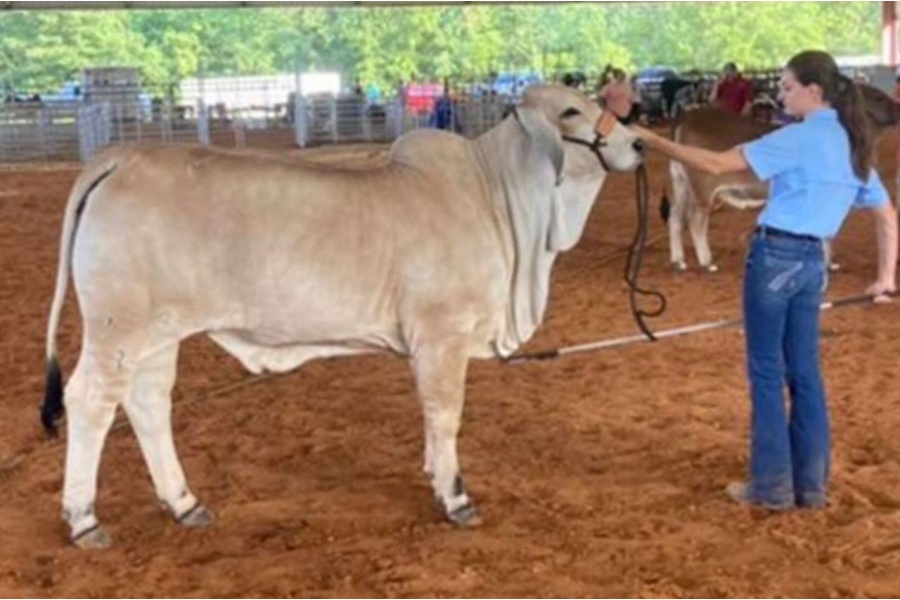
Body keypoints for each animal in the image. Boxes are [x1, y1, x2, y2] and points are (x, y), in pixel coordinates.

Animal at [41, 85, 644, 548]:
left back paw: (185, 502)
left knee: (147, 403)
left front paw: (435, 475)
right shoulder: (442, 338)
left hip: (160, 333)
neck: (494, 198)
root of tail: (122, 157)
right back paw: (84, 520)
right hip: (118, 328)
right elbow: (445, 415)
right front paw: (455, 496)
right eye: (571, 111)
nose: (637, 143)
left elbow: (431, 420)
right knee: (90, 401)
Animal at [663, 83, 900, 272]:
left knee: (675, 217)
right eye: (878, 97)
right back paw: (706, 262)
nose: (898, 107)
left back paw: (678, 260)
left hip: (680, 181)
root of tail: (687, 116)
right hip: (702, 185)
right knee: (695, 220)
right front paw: (826, 264)